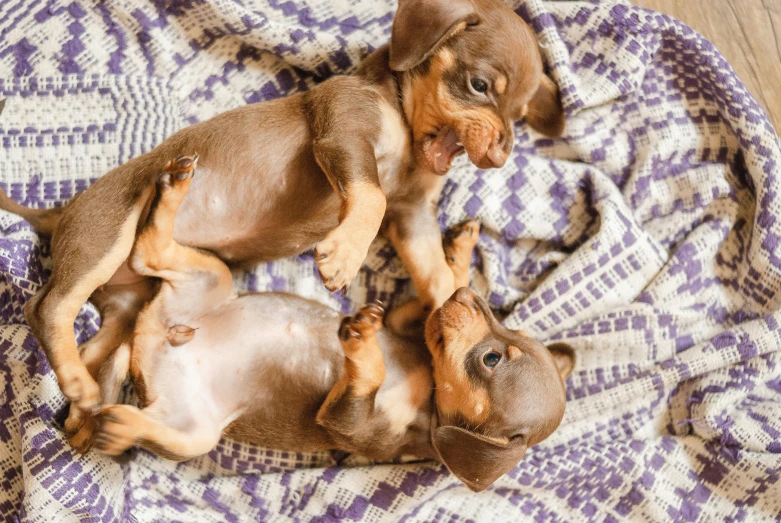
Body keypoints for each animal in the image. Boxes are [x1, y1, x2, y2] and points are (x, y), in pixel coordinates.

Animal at [79, 158, 576, 494]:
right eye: (507, 333)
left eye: (491, 359)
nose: (473, 298)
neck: (428, 386)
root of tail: (148, 344)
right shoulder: (407, 320)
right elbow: (433, 295)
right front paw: (459, 259)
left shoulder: (351, 425)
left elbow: (368, 375)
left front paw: (364, 343)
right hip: (210, 277)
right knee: (148, 251)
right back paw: (172, 190)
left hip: (195, 431)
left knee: (147, 424)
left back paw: (117, 427)